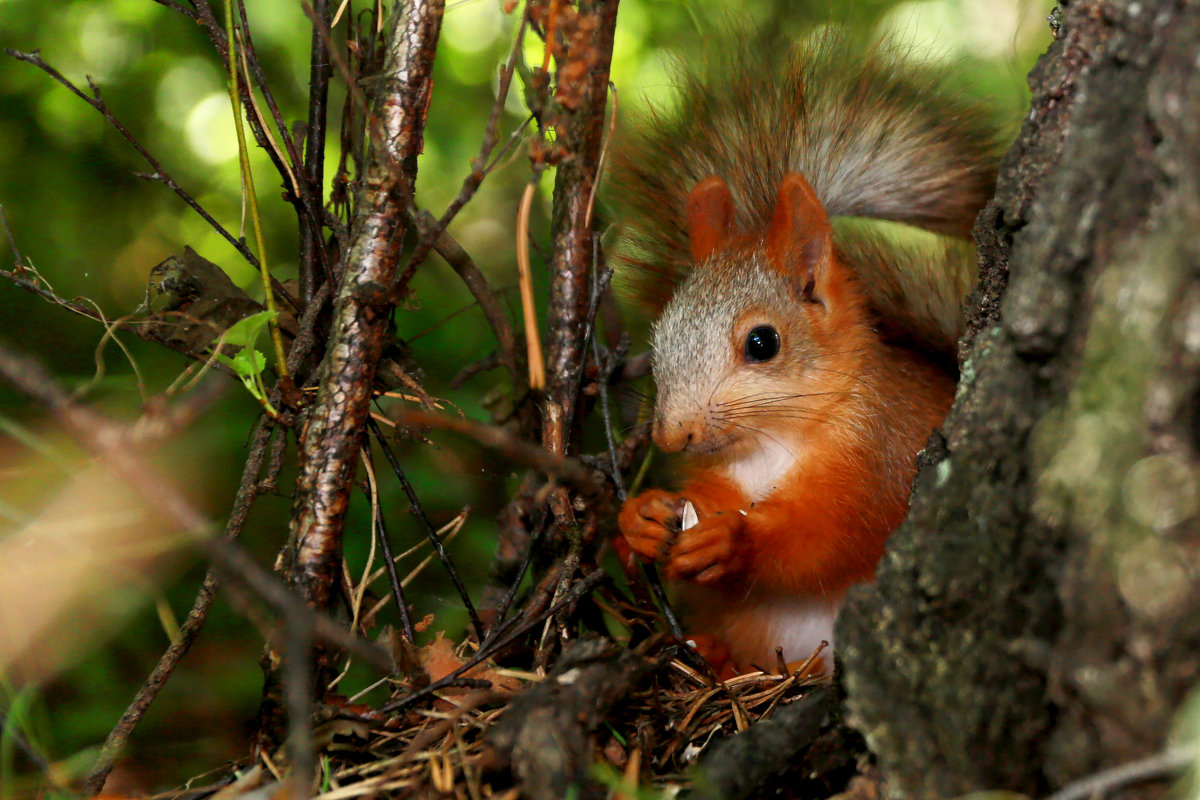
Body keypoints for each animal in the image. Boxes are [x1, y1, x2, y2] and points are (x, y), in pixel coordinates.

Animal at [614, 31, 998, 676]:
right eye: (660, 336)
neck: (774, 445)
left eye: (762, 343)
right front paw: (639, 519)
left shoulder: (882, 463)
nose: (670, 437)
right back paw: (714, 654)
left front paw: (736, 540)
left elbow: (830, 541)